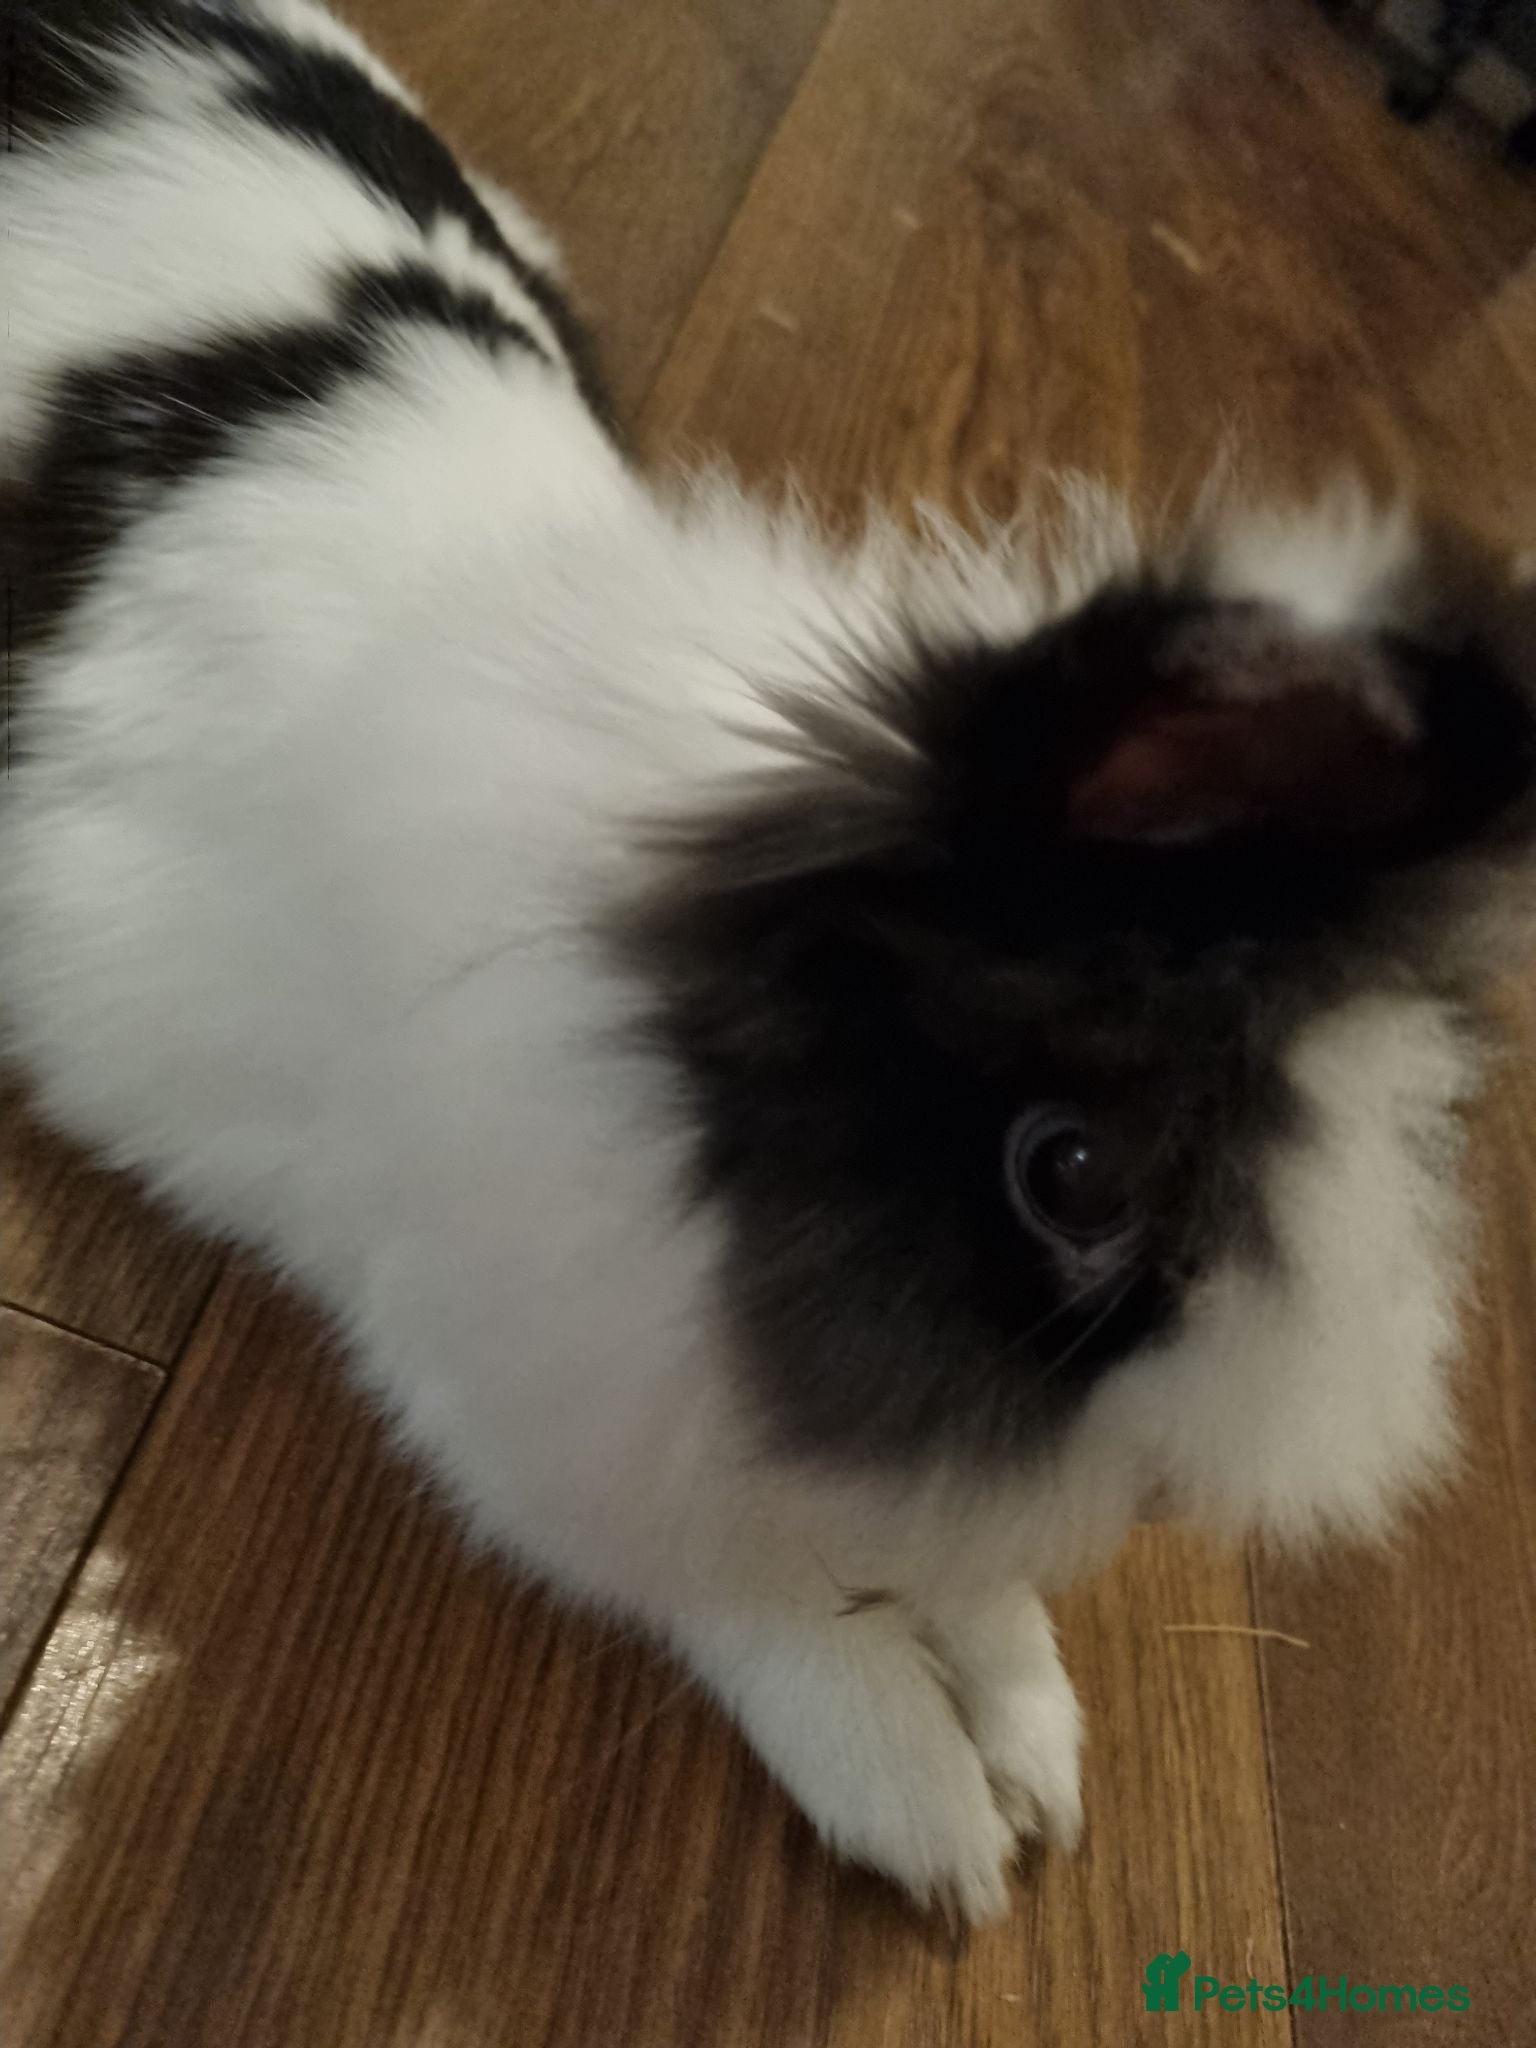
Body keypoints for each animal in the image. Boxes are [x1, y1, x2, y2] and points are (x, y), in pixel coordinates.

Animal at [3, 0, 1533, 1923]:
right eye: (1074, 1173)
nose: (1173, 1495)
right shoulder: (509, 1377)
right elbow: (743, 1588)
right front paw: (928, 1803)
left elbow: (956, 1574)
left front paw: (1033, 1740)